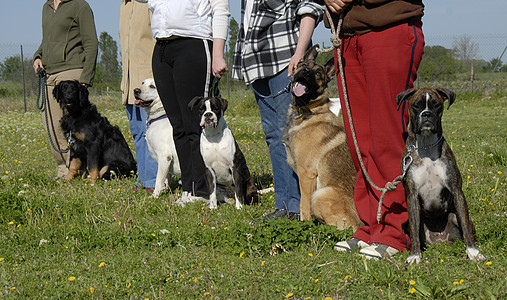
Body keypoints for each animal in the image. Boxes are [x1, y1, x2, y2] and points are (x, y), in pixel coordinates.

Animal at [282, 44, 362, 229]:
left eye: (318, 73)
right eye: (304, 65)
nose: (306, 72)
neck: (306, 111)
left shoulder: (306, 175)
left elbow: (303, 206)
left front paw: (304, 225)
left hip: (320, 195)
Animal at [396, 86, 484, 262]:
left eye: (436, 105)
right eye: (416, 106)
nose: (426, 114)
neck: (426, 146)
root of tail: (440, 240)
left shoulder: (457, 191)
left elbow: (465, 224)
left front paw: (473, 251)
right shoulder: (412, 195)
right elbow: (414, 231)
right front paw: (414, 255)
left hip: (455, 216)